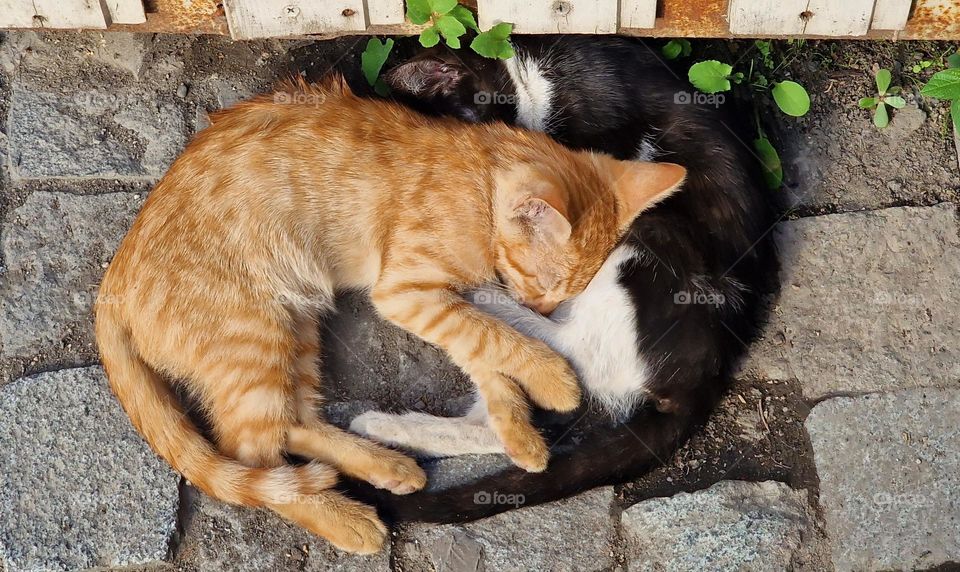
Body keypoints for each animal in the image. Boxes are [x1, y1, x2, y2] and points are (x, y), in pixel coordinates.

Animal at [95, 76, 684, 556]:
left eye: (573, 290)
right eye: (546, 285)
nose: (543, 308)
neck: (480, 181)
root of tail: (112, 284)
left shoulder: (445, 297)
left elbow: (484, 354)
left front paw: (518, 431)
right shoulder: (408, 293)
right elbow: (492, 337)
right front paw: (552, 381)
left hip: (296, 326)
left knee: (293, 424)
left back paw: (386, 465)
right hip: (254, 336)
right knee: (253, 456)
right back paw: (348, 519)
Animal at [346, 35, 780, 524]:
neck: (532, 76)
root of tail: (705, 377)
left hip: (655, 234)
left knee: (569, 348)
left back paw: (486, 299)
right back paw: (389, 428)